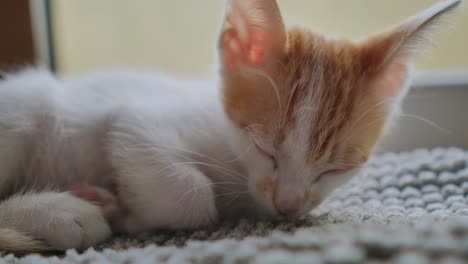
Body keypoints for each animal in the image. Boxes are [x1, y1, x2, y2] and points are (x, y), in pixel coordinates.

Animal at [0, 0, 462, 254]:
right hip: (23, 109)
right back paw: (62, 211)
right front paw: (129, 211)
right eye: (264, 148)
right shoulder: (136, 117)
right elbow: (190, 193)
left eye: (336, 169)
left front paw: (118, 205)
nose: (289, 205)